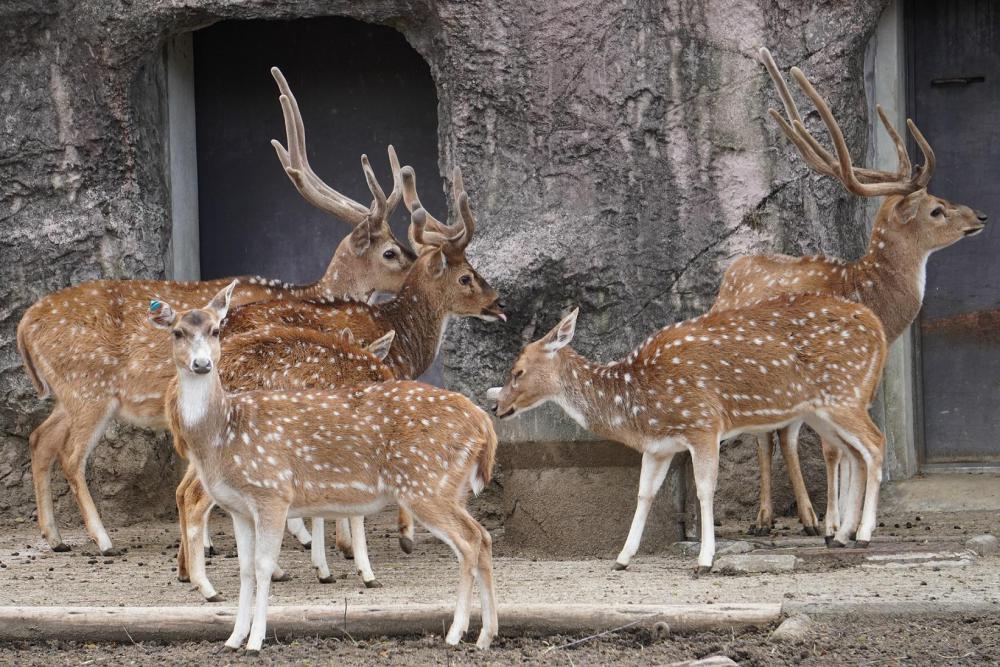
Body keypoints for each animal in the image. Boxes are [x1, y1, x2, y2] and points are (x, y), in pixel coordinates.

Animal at [15, 68, 414, 560]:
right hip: (88, 388)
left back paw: (54, 537)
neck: (309, 293)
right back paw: (103, 540)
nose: (421, 264)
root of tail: (24, 324)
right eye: (391, 252)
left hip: (67, 393)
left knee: (40, 439)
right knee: (70, 454)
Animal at [488, 298, 888, 576]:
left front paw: (705, 559)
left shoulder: (703, 424)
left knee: (876, 444)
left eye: (518, 371)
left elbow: (705, 490)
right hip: (822, 410)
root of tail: (880, 328)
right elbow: (644, 494)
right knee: (855, 453)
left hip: (845, 395)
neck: (638, 406)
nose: (497, 406)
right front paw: (622, 558)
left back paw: (863, 533)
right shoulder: (658, 447)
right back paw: (842, 535)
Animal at [716, 51, 988, 544]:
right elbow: (832, 450)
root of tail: (730, 277)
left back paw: (785, 517)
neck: (870, 296)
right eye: (936, 209)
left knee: (774, 432)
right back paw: (780, 517)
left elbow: (846, 448)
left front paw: (841, 522)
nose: (979, 215)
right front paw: (836, 525)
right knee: (773, 435)